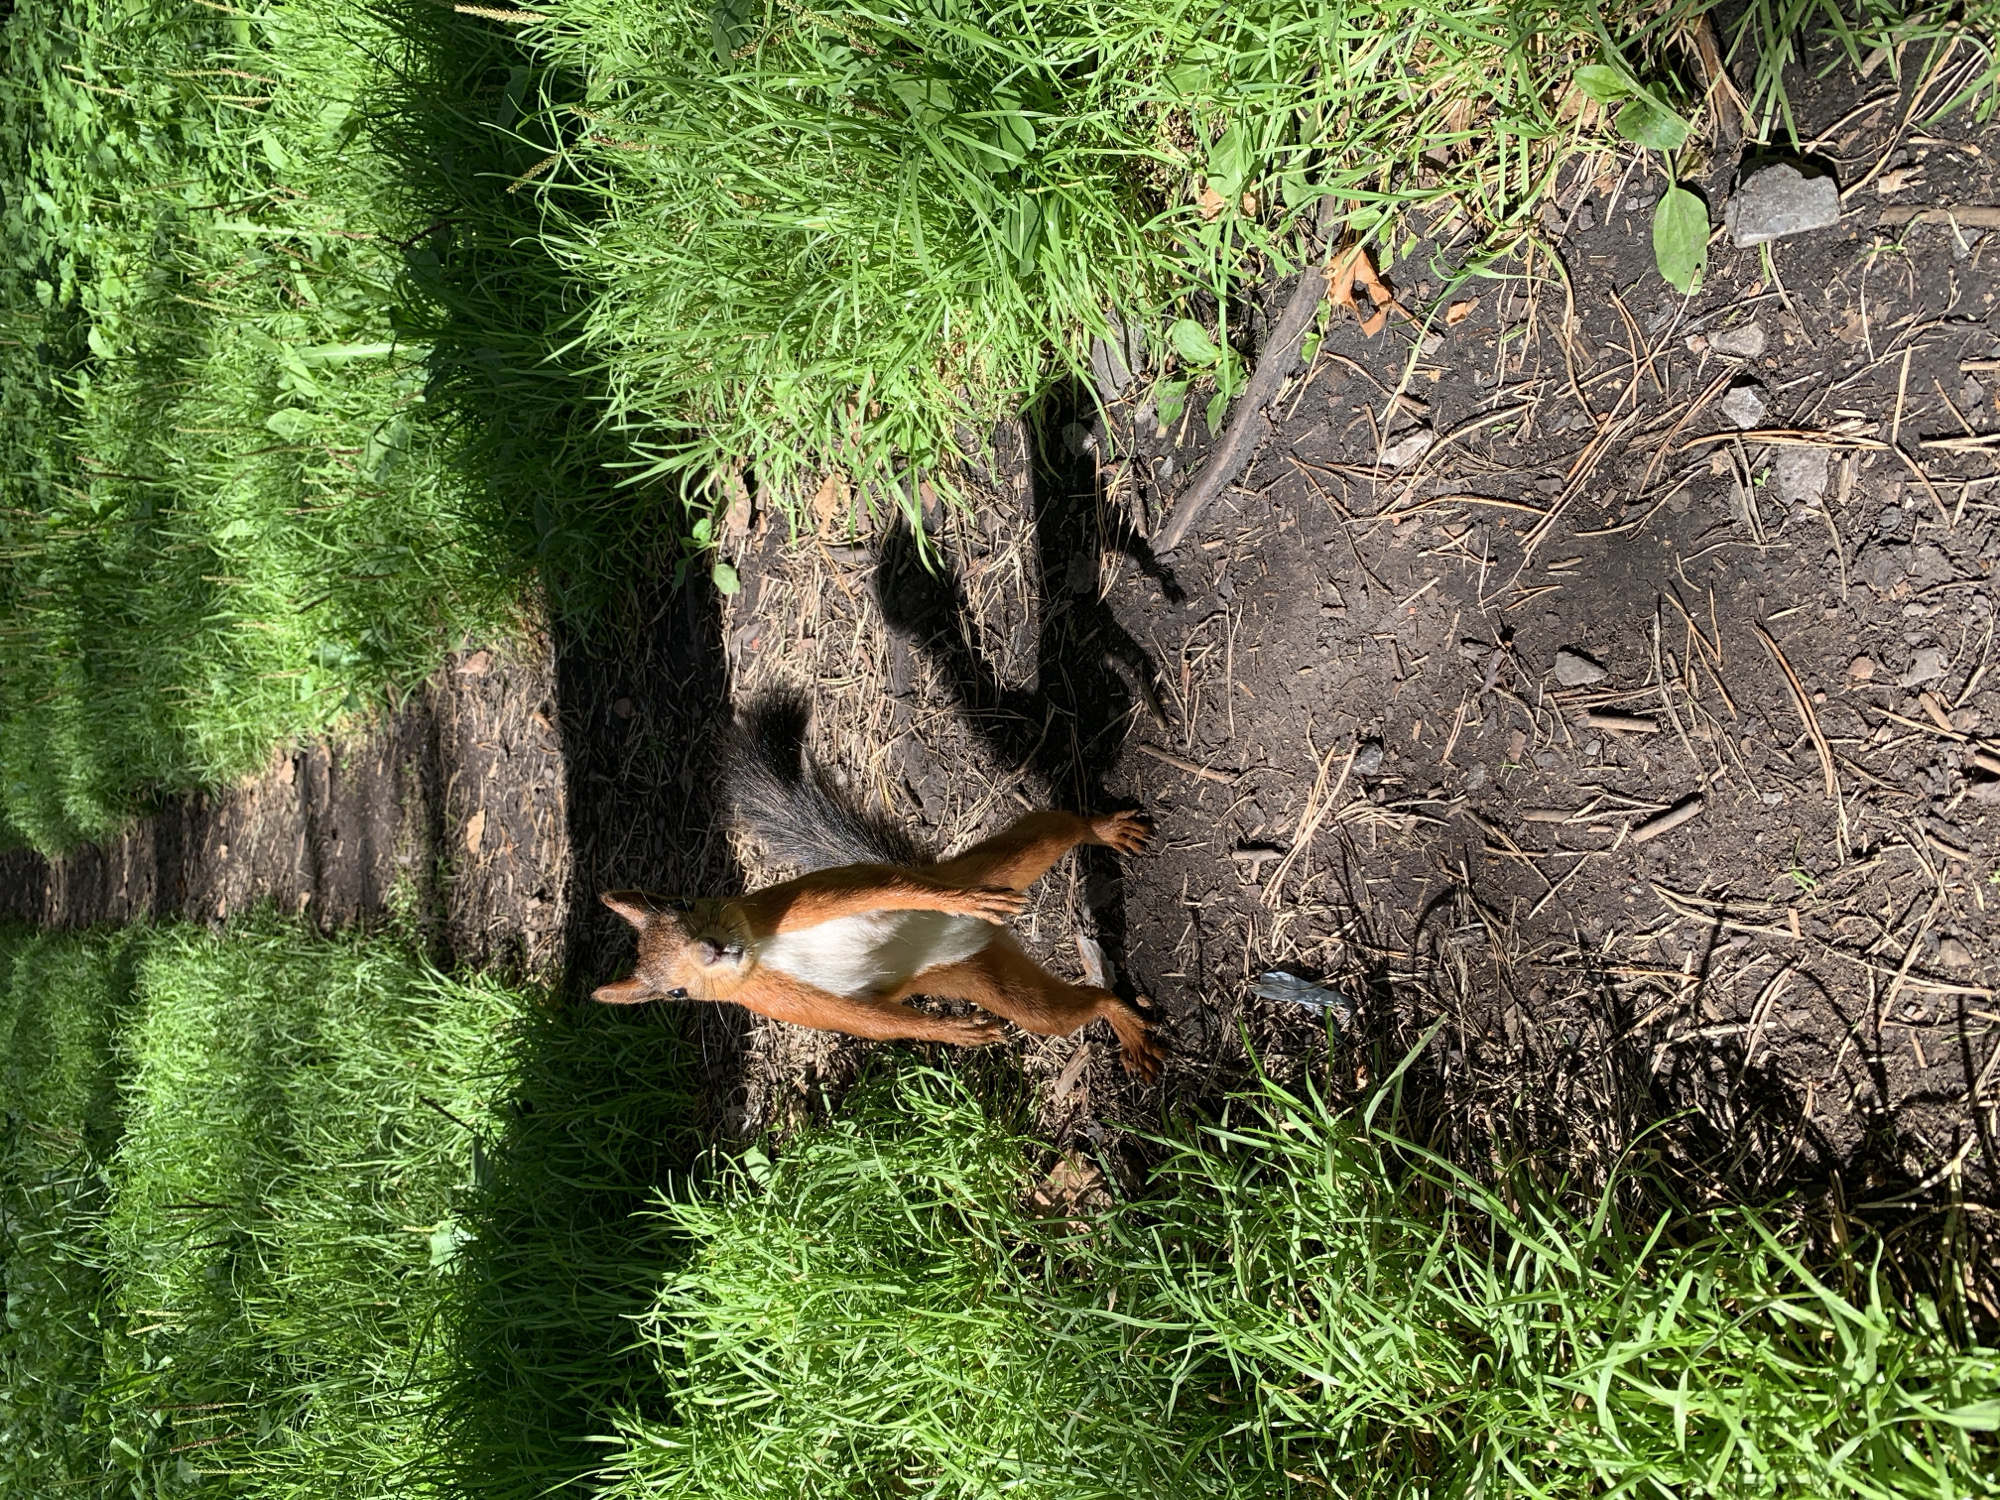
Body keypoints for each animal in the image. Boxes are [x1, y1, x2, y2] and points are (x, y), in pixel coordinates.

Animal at [592, 698, 1164, 1079]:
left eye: (684, 902)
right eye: (677, 994)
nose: (711, 950)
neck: (763, 951)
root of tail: (985, 940)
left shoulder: (798, 902)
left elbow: (885, 888)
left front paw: (955, 901)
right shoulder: (787, 1006)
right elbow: (872, 1023)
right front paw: (957, 1033)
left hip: (1005, 861)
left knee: (1057, 831)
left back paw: (1104, 833)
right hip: (992, 981)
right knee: (1064, 1011)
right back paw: (1121, 1023)